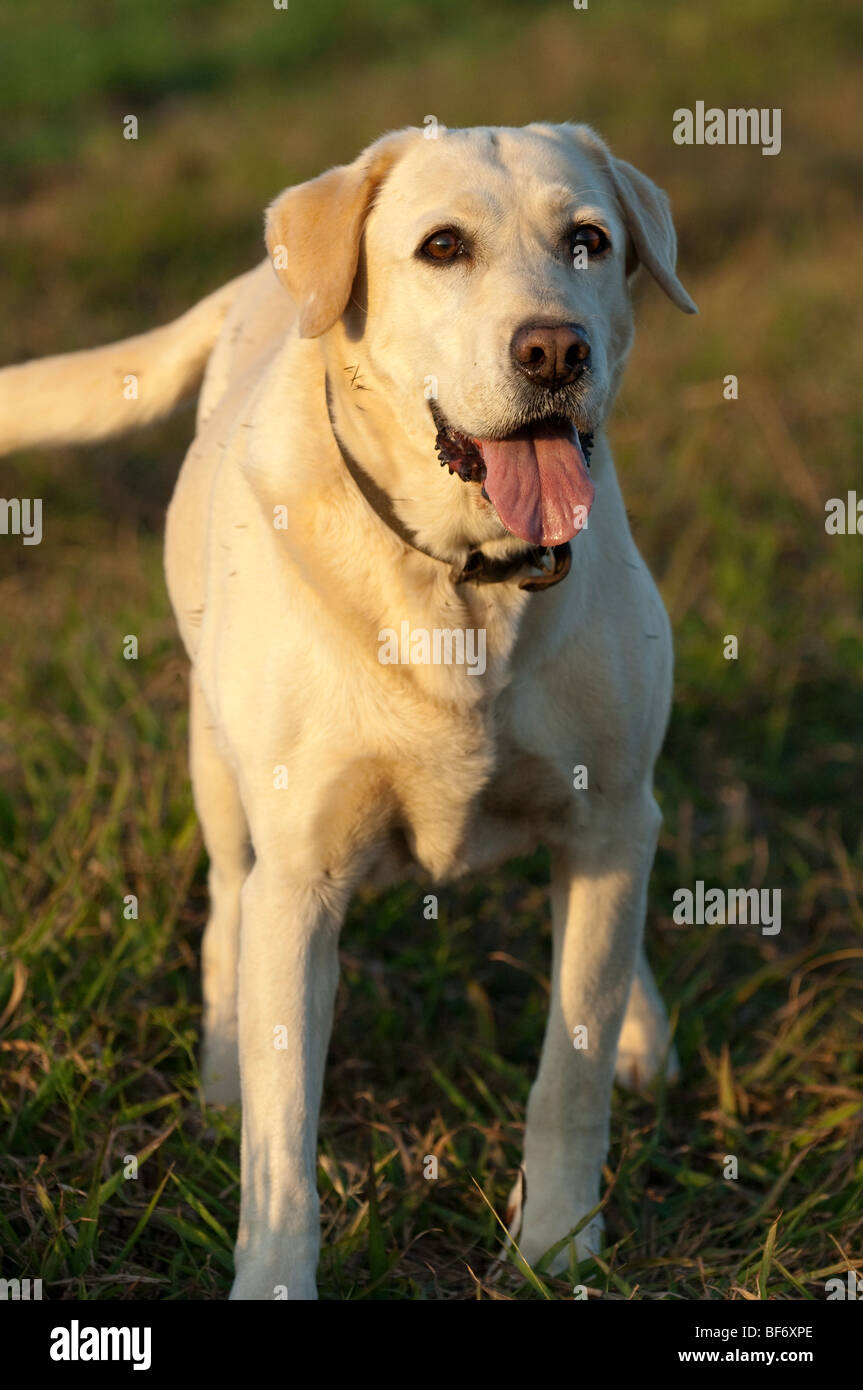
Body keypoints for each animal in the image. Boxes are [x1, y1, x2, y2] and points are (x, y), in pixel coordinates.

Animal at [0, 125, 692, 1295]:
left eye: (588, 241)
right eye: (442, 246)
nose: (554, 352)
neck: (463, 581)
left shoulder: (606, 809)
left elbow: (572, 1058)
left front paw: (554, 1244)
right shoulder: (303, 876)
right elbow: (283, 1141)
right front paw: (274, 1273)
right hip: (220, 775)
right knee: (226, 913)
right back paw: (222, 1071)